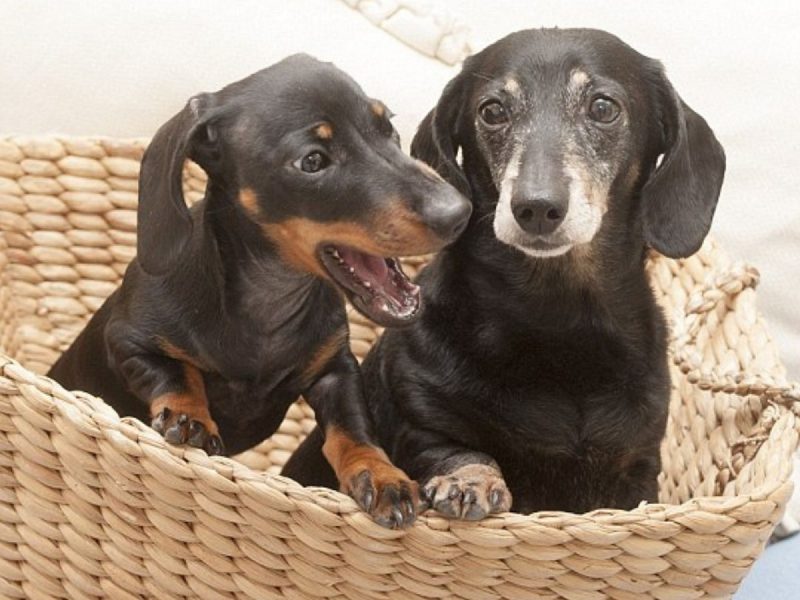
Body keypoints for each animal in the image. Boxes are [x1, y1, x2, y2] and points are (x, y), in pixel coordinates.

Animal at [284, 29, 728, 516]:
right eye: (492, 111)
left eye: (603, 107)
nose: (536, 208)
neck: (558, 320)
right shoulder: (418, 421)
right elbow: (458, 449)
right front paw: (468, 481)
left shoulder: (637, 468)